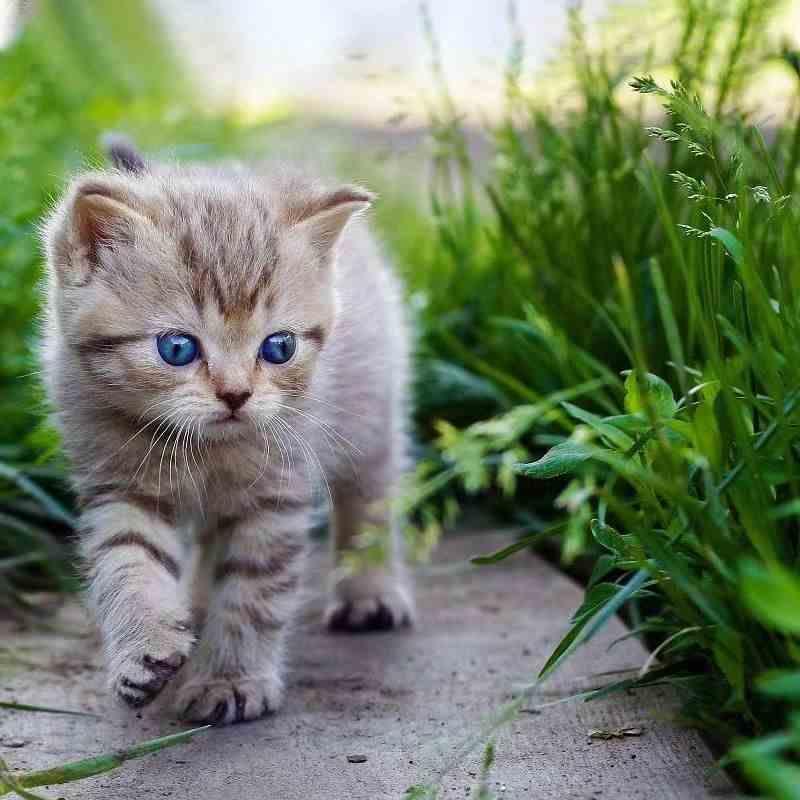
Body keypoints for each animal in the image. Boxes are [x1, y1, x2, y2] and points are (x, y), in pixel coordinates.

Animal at [39, 141, 412, 728]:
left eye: (279, 347)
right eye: (176, 349)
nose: (237, 395)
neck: (201, 450)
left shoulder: (274, 494)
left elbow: (253, 591)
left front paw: (230, 679)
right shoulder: (117, 484)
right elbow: (128, 564)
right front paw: (145, 646)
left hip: (371, 415)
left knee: (369, 498)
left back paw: (368, 591)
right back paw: (190, 603)